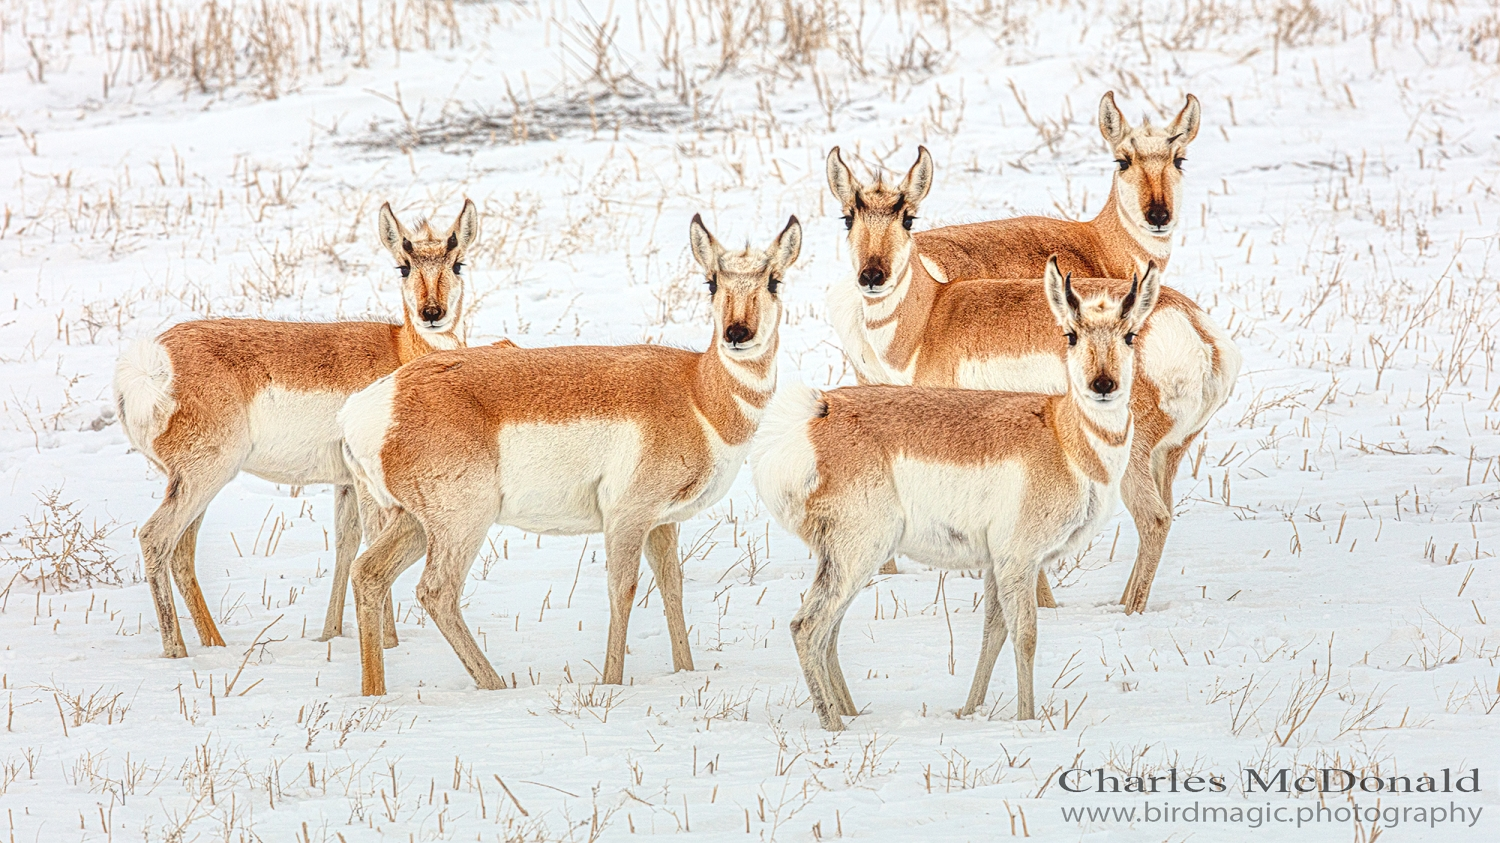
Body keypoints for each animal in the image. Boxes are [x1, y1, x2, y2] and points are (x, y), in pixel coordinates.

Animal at [117, 198, 480, 657]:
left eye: (458, 263)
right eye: (403, 266)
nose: (432, 313)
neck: (401, 349)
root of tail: (151, 363)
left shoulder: (345, 484)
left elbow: (346, 543)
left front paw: (330, 634)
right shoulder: (368, 486)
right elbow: (371, 539)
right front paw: (391, 642)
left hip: (196, 482)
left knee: (181, 552)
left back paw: (215, 644)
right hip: (205, 475)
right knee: (155, 539)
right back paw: (178, 653)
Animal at [340, 213, 804, 693]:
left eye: (773, 281)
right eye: (712, 282)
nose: (737, 334)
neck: (696, 390)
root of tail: (370, 405)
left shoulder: (662, 522)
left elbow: (671, 586)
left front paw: (685, 673)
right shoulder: (626, 516)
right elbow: (624, 590)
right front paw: (612, 683)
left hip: (414, 522)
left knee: (369, 574)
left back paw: (376, 693)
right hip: (462, 521)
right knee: (436, 591)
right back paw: (496, 684)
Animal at [756, 258, 1152, 729]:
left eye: (1129, 334)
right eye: (1071, 334)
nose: (1103, 384)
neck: (1063, 434)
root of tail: (815, 414)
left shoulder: (996, 564)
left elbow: (993, 632)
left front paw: (969, 710)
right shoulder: (1018, 560)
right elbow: (1026, 634)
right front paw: (1027, 719)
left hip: (847, 559)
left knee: (828, 631)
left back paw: (849, 712)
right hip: (859, 552)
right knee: (809, 627)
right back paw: (835, 727)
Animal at [828, 141, 1236, 609]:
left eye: (907, 218)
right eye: (848, 217)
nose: (872, 276)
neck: (933, 312)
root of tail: (1197, 329)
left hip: (1132, 453)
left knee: (1153, 518)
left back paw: (1126, 611)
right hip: (1169, 454)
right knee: (1164, 514)